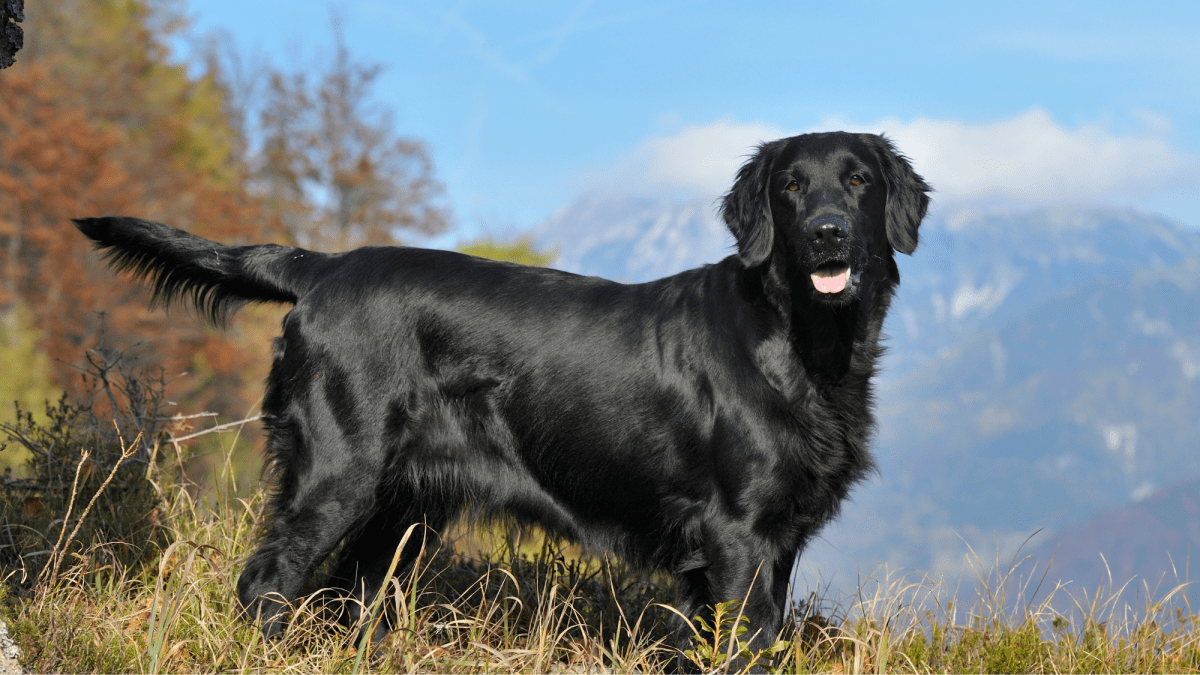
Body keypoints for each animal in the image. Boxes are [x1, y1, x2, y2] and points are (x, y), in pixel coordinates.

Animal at [75, 131, 931, 653]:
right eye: (792, 186)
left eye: (858, 180)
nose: (826, 232)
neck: (803, 342)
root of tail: (322, 267)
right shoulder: (739, 535)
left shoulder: (772, 543)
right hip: (338, 474)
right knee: (268, 581)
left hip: (402, 510)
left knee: (350, 594)